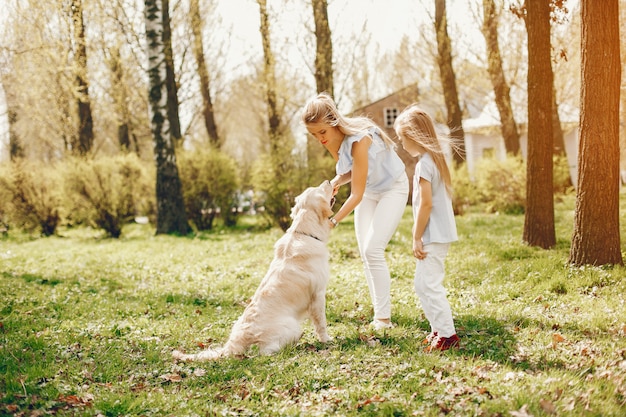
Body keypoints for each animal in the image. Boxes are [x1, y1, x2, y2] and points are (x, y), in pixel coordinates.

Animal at [171, 180, 336, 360]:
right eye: (320, 189)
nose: (328, 181)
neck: (304, 233)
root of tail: (233, 344)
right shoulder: (318, 295)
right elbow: (321, 323)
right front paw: (327, 340)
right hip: (291, 326)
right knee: (266, 351)